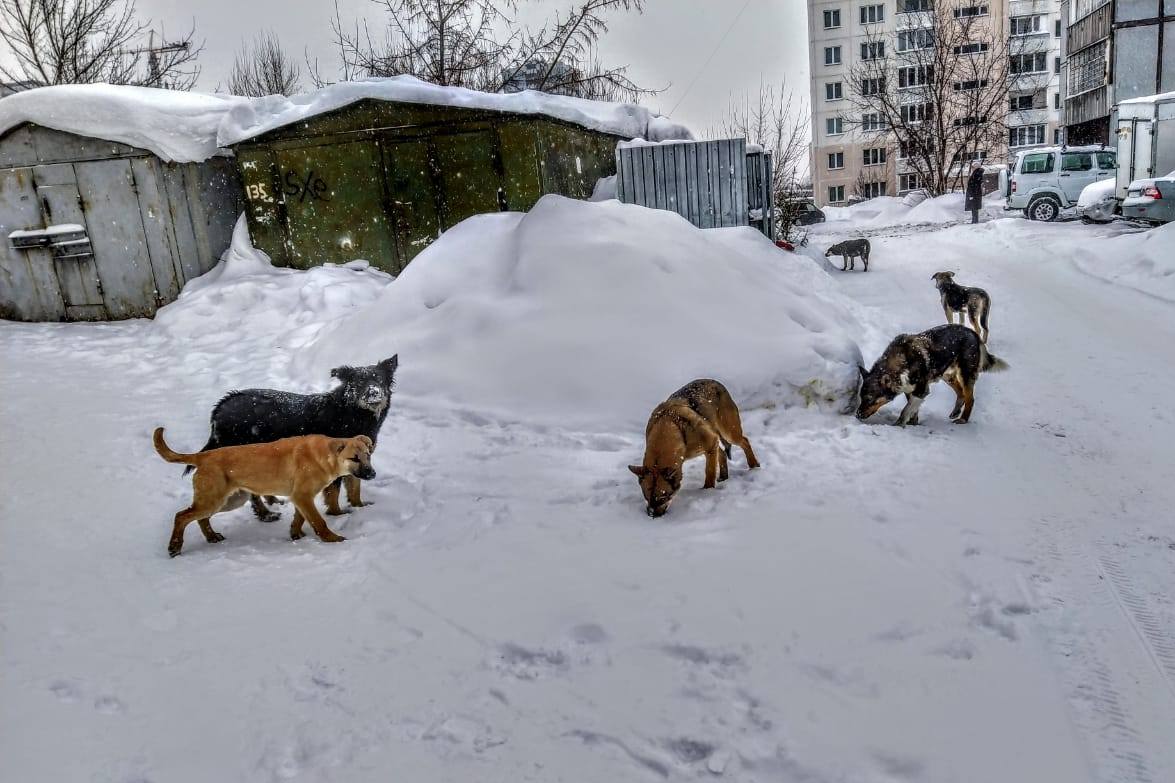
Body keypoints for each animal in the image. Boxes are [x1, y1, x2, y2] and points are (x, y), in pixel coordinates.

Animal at [155, 427, 376, 554]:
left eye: (368, 455)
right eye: (354, 458)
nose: (372, 474)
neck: (325, 456)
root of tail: (203, 456)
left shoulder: (299, 498)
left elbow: (300, 519)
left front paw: (296, 535)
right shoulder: (302, 496)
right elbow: (318, 521)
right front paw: (332, 539)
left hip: (229, 500)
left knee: (200, 518)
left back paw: (211, 537)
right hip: (214, 499)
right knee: (181, 516)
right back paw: (175, 546)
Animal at [625, 378, 761, 517]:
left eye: (663, 497)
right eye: (646, 497)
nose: (652, 516)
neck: (671, 426)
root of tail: (714, 381)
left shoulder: (711, 443)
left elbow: (709, 472)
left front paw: (707, 491)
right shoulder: (711, 444)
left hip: (729, 434)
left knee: (745, 441)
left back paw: (754, 466)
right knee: (723, 453)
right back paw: (724, 477)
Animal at [855, 322, 1010, 423]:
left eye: (869, 399)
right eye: (861, 397)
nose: (857, 415)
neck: (901, 362)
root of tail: (973, 333)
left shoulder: (921, 390)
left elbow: (905, 410)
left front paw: (899, 425)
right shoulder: (911, 391)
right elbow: (912, 409)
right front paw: (913, 423)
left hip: (965, 375)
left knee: (970, 398)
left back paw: (963, 419)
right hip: (948, 376)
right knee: (960, 394)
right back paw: (955, 412)